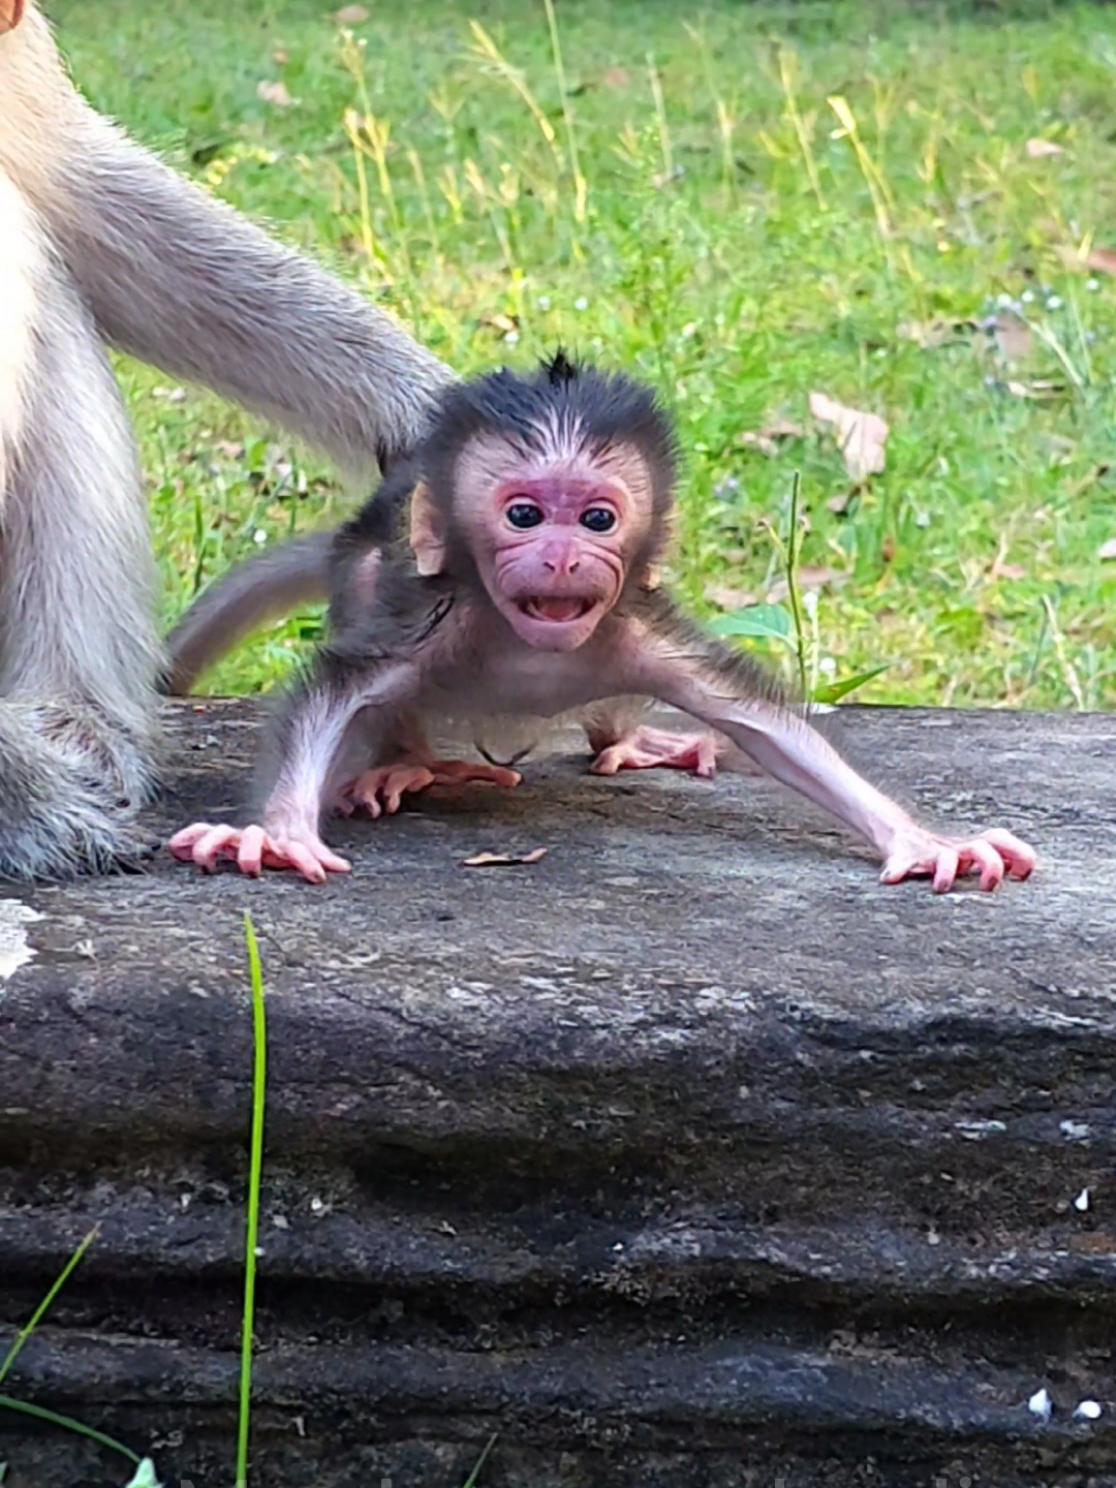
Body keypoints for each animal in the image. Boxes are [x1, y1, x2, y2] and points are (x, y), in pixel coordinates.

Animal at [170, 355, 1037, 894]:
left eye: (596, 518)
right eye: (523, 515)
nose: (561, 558)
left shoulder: (637, 636)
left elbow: (769, 728)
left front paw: (926, 843)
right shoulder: (434, 618)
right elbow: (336, 696)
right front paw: (279, 833)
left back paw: (632, 740)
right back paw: (411, 764)